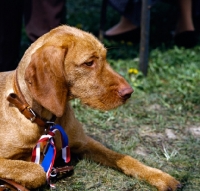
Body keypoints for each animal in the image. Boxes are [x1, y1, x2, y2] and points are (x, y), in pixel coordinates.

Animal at [0, 25, 180, 191]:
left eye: (105, 58)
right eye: (89, 63)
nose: (129, 92)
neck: (43, 119)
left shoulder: (85, 142)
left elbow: (124, 157)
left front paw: (160, 176)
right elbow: (35, 170)